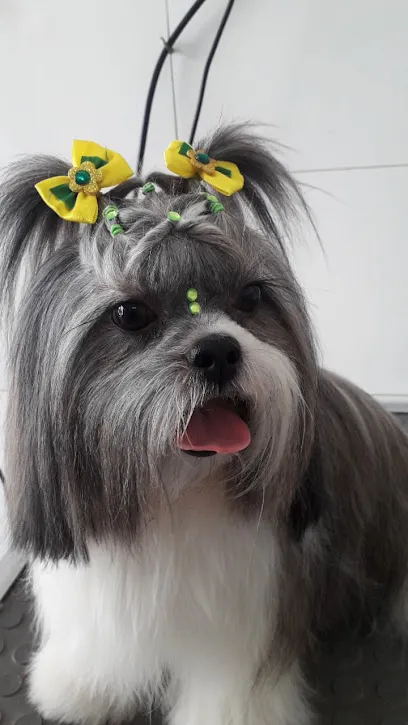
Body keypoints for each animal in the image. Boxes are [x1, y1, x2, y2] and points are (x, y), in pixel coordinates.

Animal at [0, 126, 408, 724]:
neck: (175, 492)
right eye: (130, 314)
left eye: (252, 297)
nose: (217, 351)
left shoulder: (243, 619)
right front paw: (79, 686)